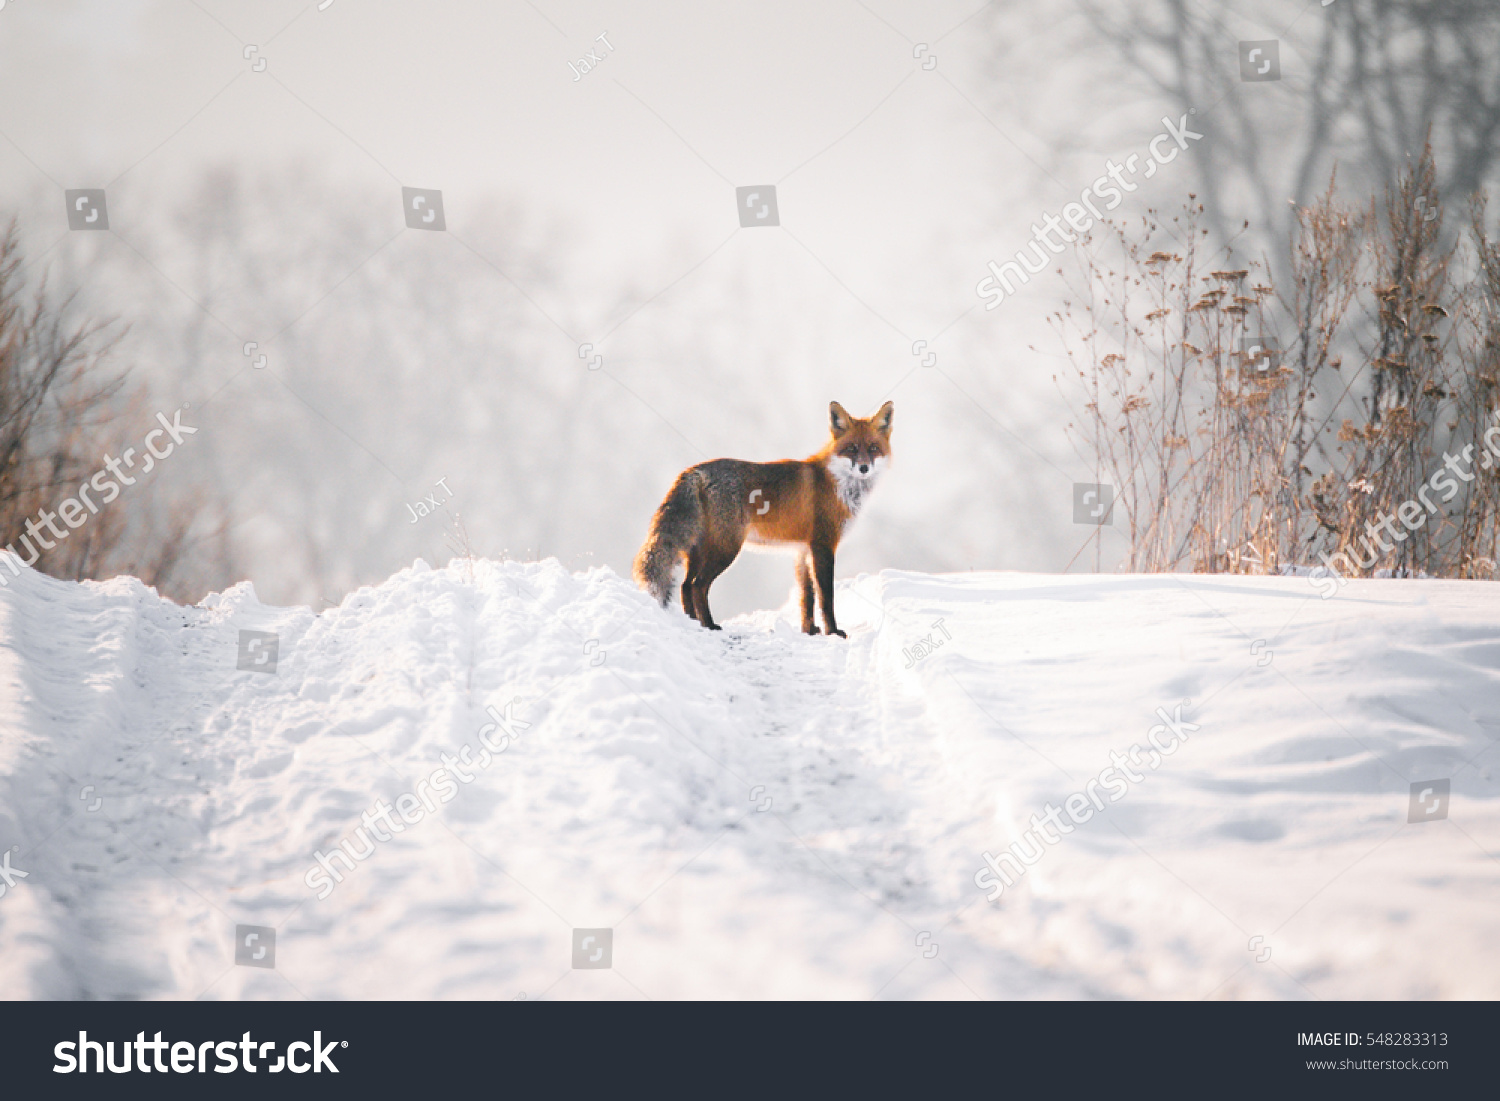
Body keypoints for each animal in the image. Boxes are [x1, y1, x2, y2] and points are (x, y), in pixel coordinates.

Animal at [633, 400, 893, 636]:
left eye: (873, 448)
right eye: (851, 448)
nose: (863, 468)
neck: (839, 484)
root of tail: (694, 470)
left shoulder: (803, 550)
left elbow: (806, 597)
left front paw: (809, 631)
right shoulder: (823, 546)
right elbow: (825, 597)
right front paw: (833, 632)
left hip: (699, 549)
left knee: (685, 586)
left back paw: (694, 624)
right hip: (726, 548)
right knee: (698, 586)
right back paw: (710, 625)